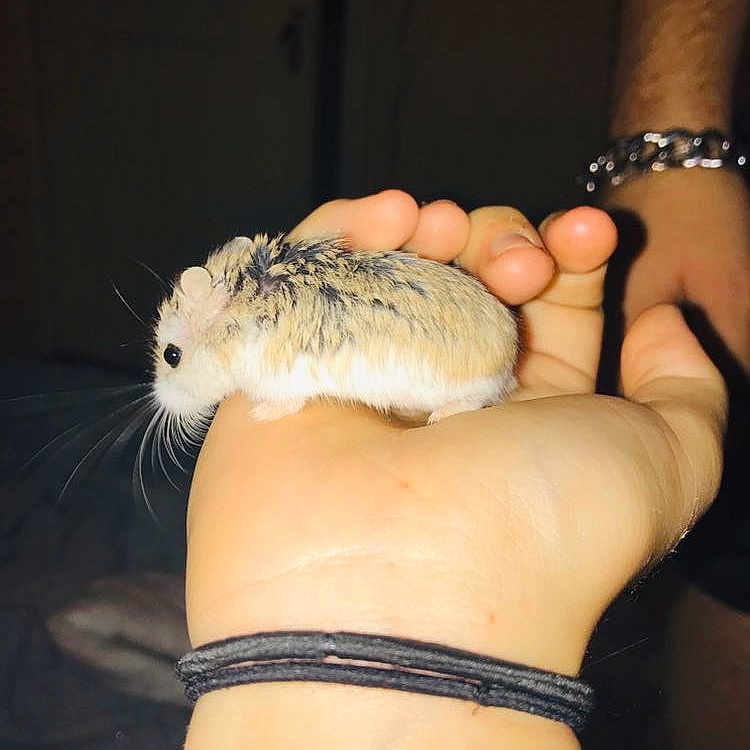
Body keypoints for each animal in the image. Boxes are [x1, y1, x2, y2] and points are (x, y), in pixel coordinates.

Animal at [152, 234, 518, 426]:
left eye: (172, 355)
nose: (162, 401)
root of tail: (509, 362)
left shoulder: (279, 382)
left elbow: (287, 404)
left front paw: (258, 414)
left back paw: (440, 416)